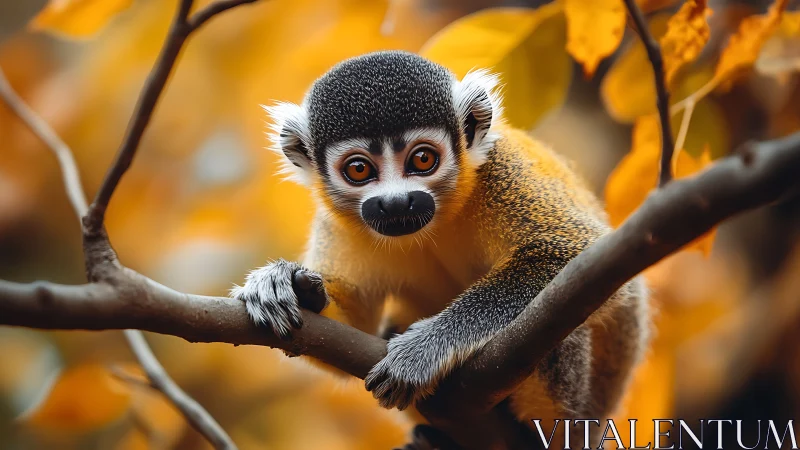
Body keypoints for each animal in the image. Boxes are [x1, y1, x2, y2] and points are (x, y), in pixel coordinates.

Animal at [231, 50, 650, 445]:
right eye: (359, 169)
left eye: (422, 159)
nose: (396, 203)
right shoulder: (336, 220)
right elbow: (350, 326)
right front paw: (290, 285)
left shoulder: (500, 171)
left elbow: (578, 252)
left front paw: (425, 349)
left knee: (556, 314)